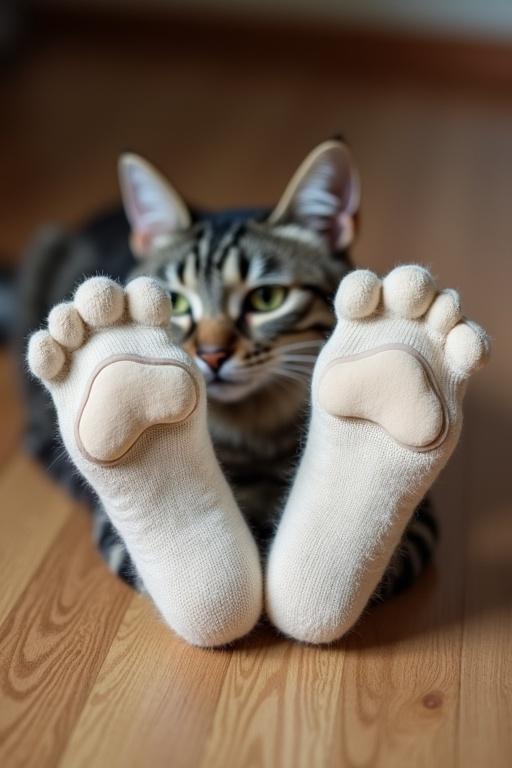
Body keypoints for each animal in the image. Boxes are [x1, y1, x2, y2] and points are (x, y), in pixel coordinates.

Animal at [19, 144, 436, 600]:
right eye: (174, 303)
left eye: (267, 298)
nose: (212, 355)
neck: (256, 429)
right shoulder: (117, 540)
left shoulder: (419, 529)